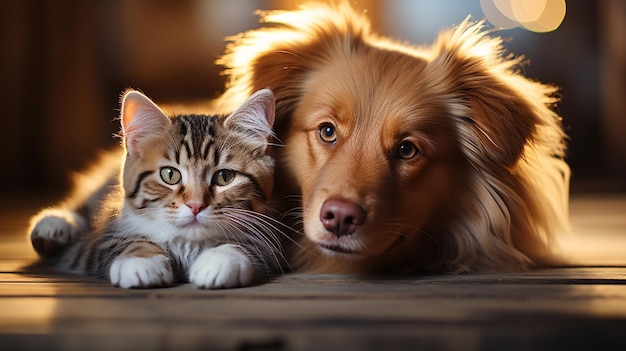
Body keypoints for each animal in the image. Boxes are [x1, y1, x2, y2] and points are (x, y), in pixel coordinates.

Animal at [28, 88, 284, 288]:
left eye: (224, 177)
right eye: (169, 175)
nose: (195, 205)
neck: (187, 244)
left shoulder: (271, 236)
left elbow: (248, 244)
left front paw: (220, 259)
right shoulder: (103, 238)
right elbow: (130, 241)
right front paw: (142, 261)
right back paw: (53, 228)